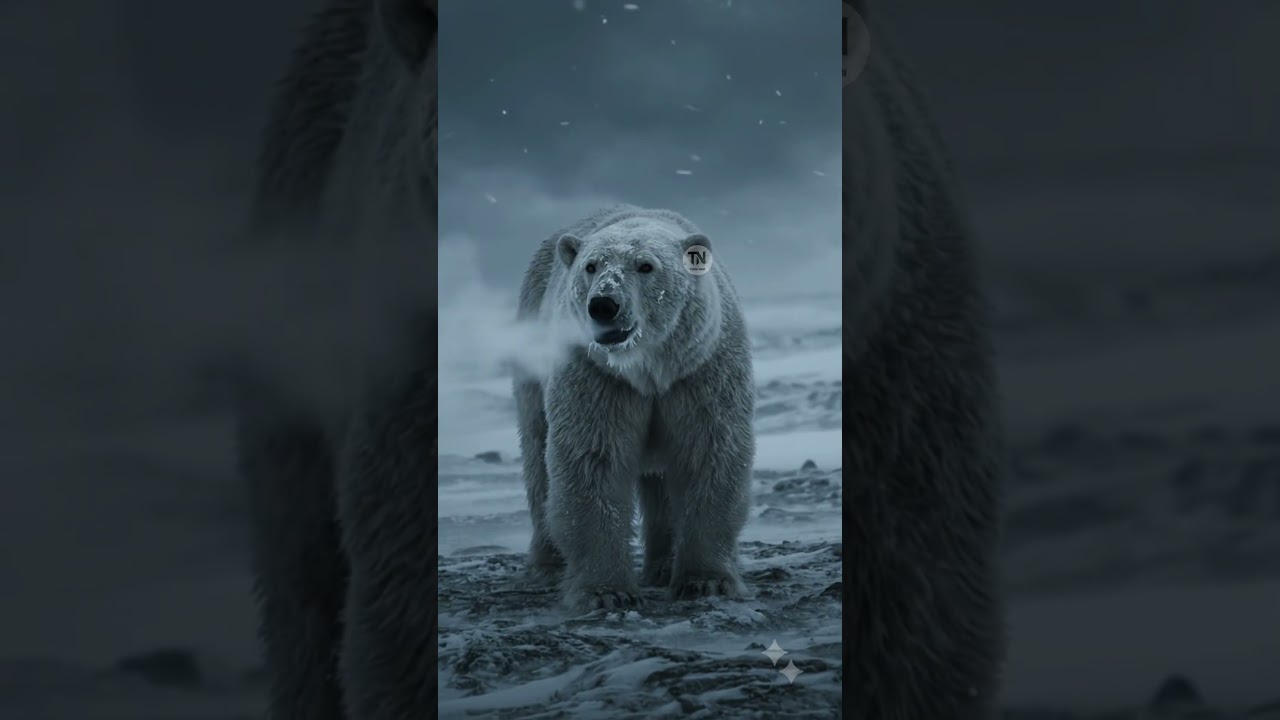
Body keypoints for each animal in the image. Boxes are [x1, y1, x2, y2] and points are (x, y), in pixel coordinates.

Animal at [514, 206, 756, 612]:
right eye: (591, 266)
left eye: (645, 266)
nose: (604, 305)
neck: (649, 370)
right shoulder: (598, 376)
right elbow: (594, 459)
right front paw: (606, 591)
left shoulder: (700, 371)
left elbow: (708, 452)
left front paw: (706, 581)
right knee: (537, 456)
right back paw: (548, 564)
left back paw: (664, 565)